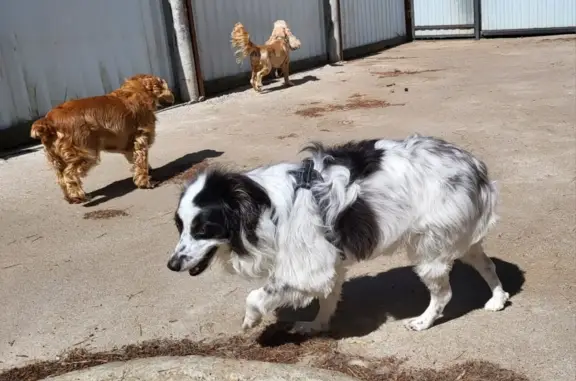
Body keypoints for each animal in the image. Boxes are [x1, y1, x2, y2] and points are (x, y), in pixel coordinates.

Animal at [30, 75, 174, 205]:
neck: (136, 89)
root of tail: (48, 120)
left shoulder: (129, 146)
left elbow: (136, 161)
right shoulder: (140, 139)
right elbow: (141, 162)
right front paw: (146, 182)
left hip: (57, 159)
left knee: (61, 178)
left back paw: (70, 198)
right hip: (86, 154)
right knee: (69, 174)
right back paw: (78, 196)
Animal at [165, 136, 508, 332]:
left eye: (203, 228)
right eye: (180, 226)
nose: (172, 265)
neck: (263, 206)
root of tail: (475, 166)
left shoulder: (306, 268)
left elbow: (258, 294)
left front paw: (251, 319)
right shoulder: (327, 263)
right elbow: (327, 296)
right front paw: (316, 326)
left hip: (430, 247)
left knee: (444, 293)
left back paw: (424, 322)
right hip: (461, 240)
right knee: (488, 265)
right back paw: (498, 299)